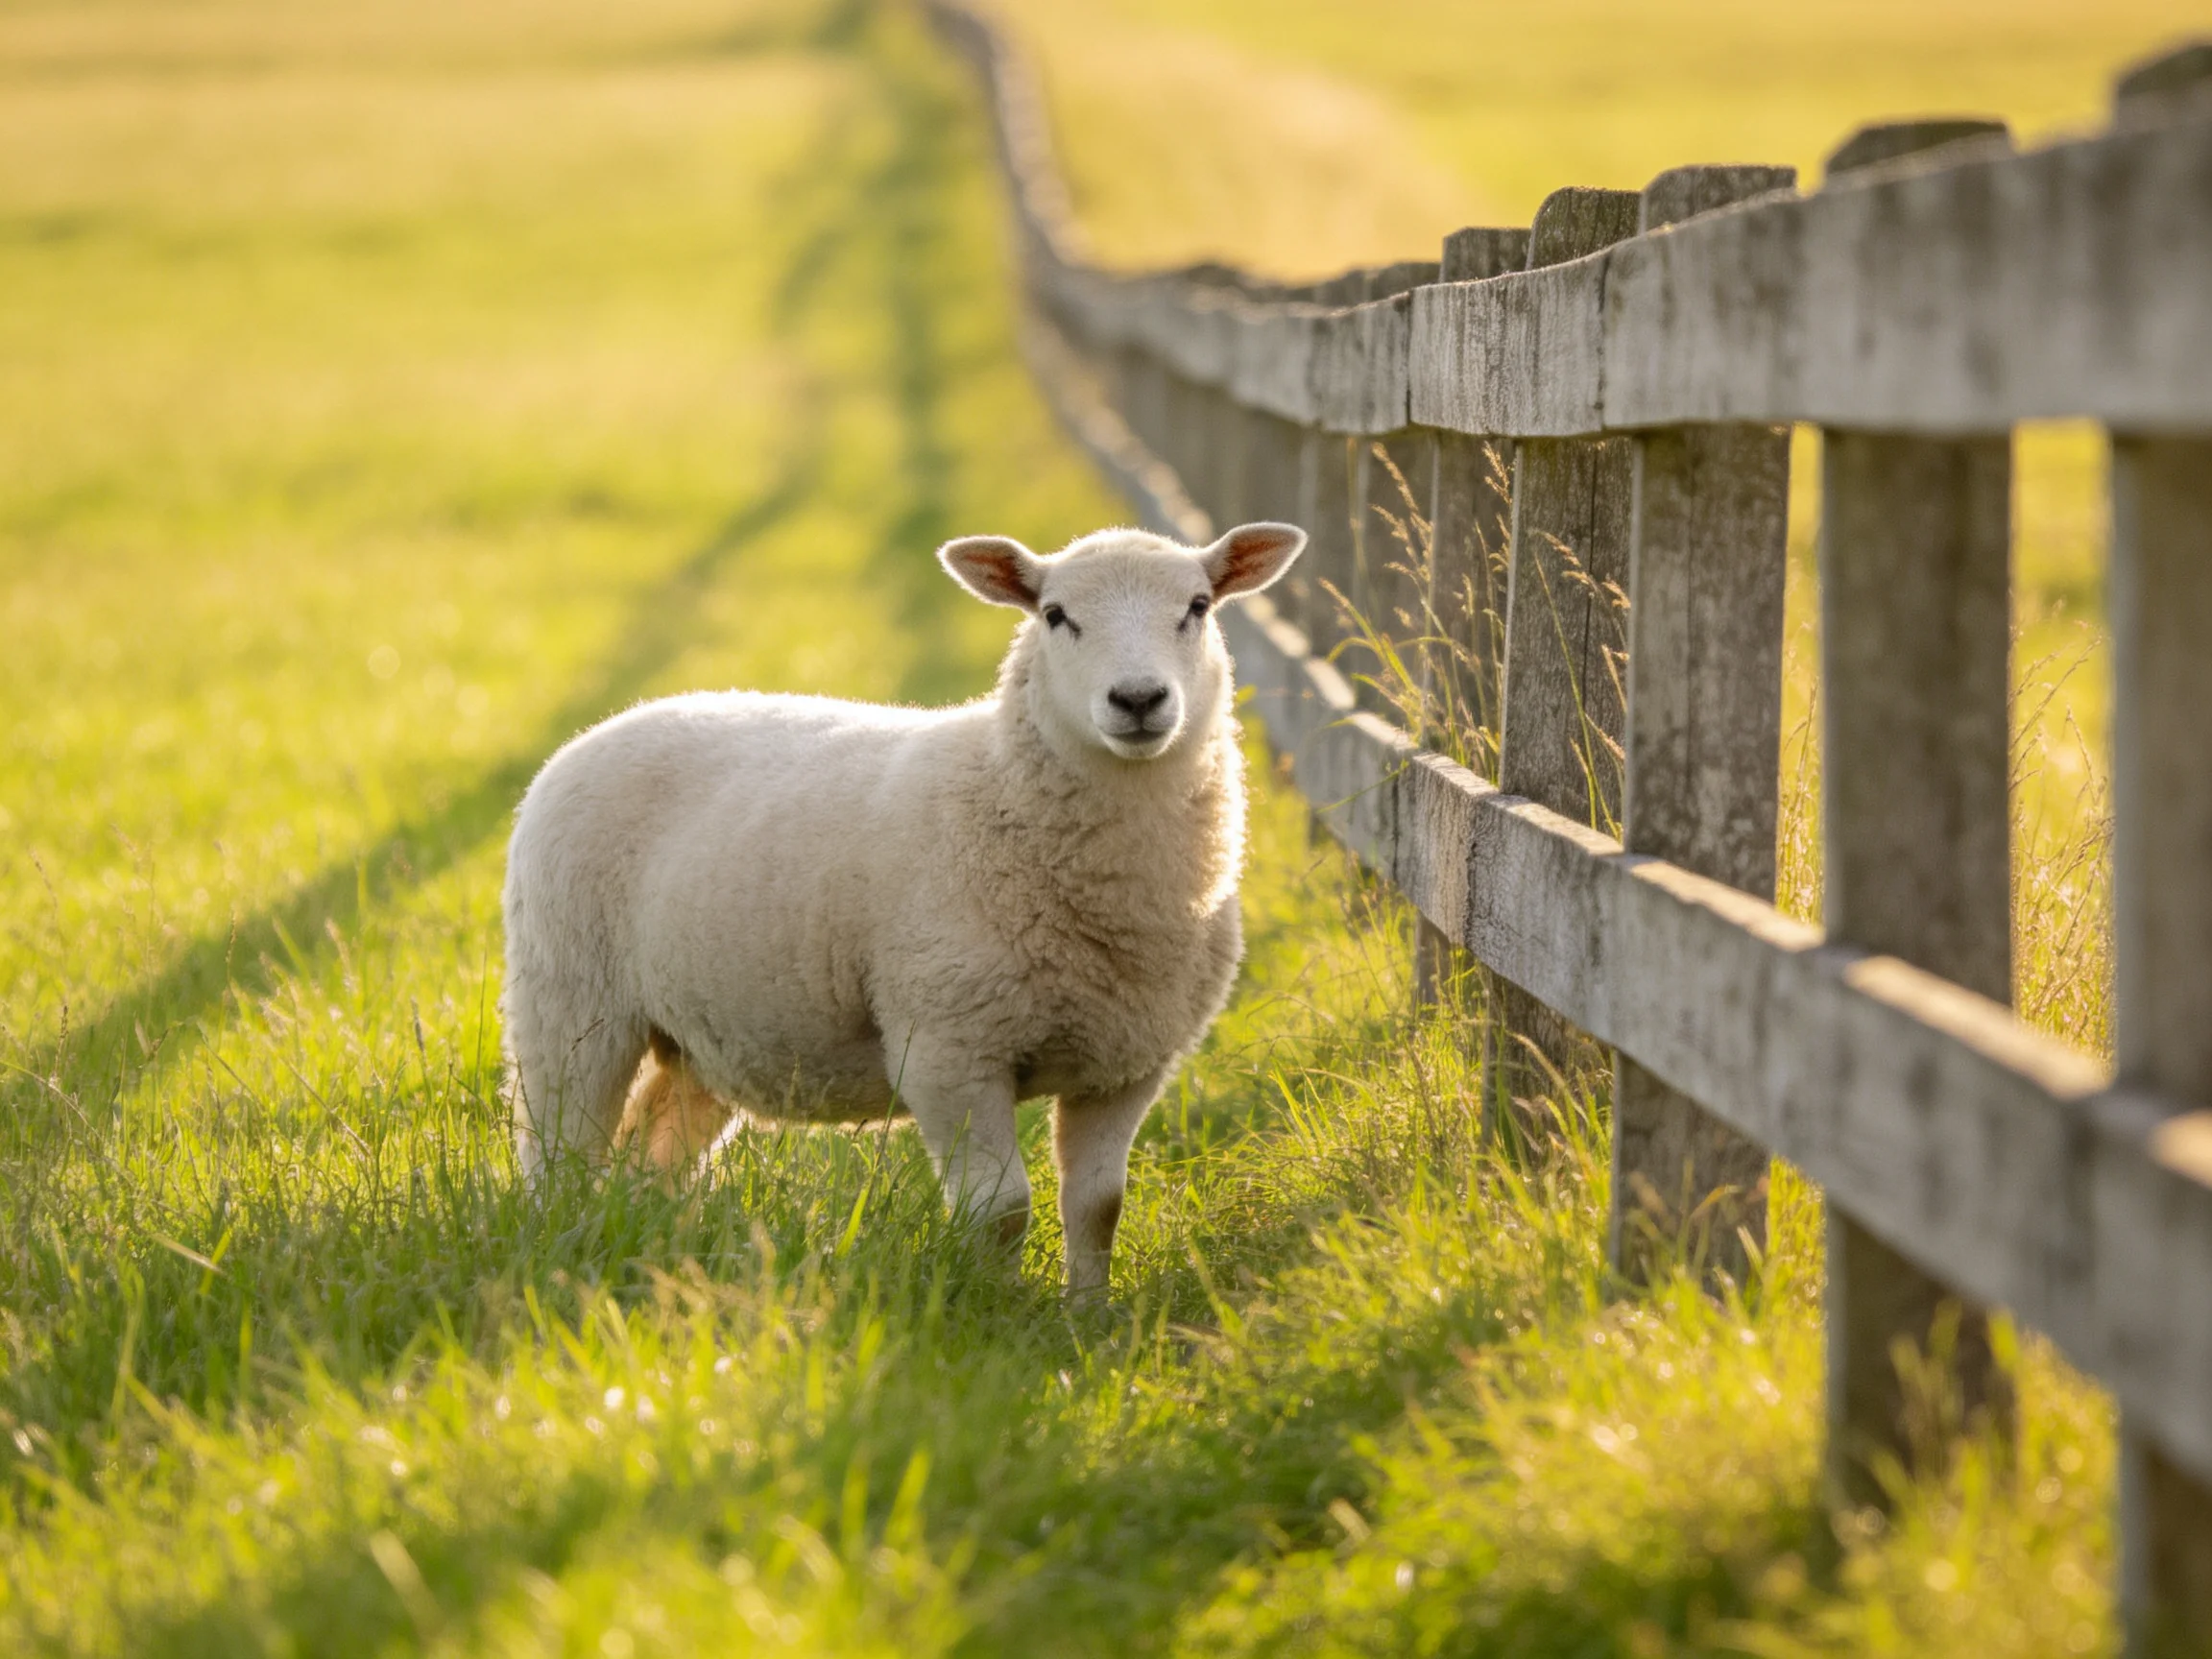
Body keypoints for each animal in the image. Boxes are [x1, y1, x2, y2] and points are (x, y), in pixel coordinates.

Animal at [500, 520, 1305, 1295]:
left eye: (1197, 607)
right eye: (1055, 615)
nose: (1138, 700)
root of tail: (605, 727)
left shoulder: (1126, 1064)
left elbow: (1098, 1207)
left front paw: (1087, 1318)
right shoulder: (948, 1048)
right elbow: (1000, 1210)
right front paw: (997, 1314)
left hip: (699, 1036)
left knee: (652, 1151)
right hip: (570, 1001)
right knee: (556, 1152)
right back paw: (557, 1250)